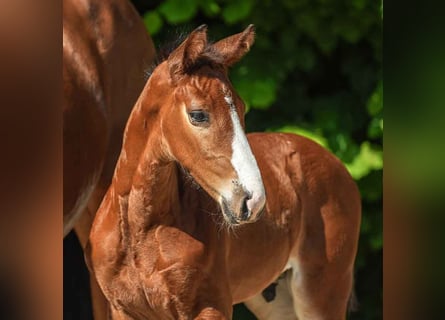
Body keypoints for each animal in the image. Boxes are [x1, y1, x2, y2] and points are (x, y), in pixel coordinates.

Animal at [87, 23, 360, 318]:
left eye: (241, 108)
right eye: (198, 114)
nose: (253, 200)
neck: (141, 230)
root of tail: (335, 163)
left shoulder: (211, 305)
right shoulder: (122, 308)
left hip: (320, 293)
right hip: (275, 300)